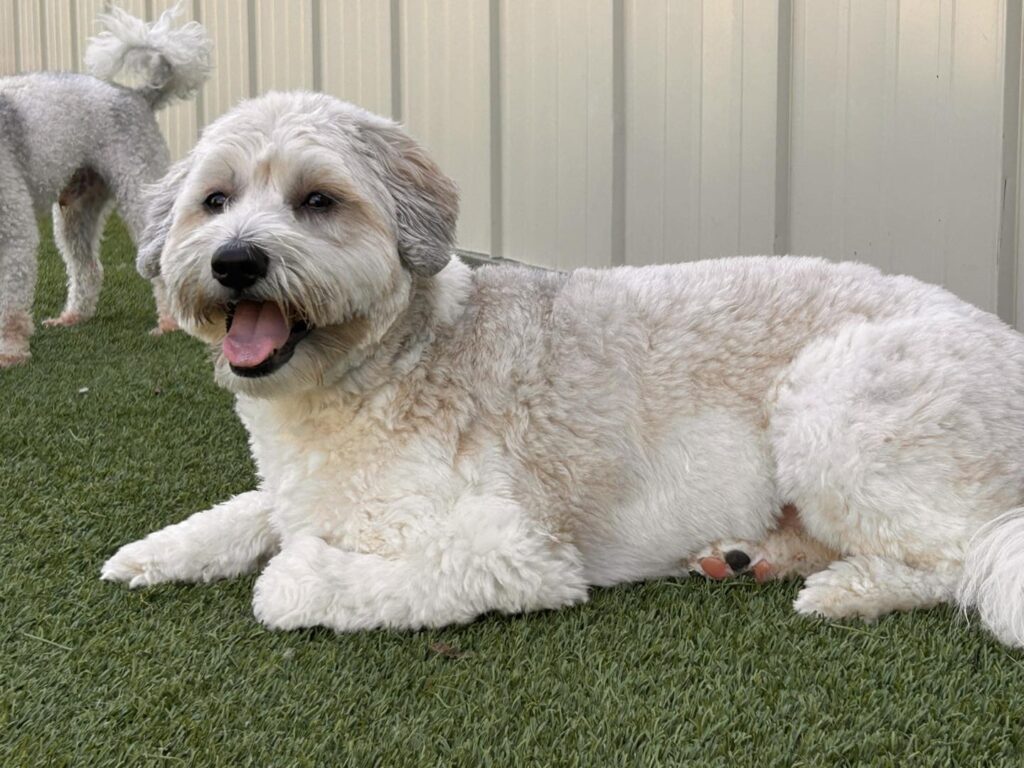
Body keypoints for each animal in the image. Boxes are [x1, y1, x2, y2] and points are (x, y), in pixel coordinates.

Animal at [0, 5, 210, 366]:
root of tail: (138, 95)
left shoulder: (14, 231)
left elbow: (10, 306)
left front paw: (10, 353)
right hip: (76, 209)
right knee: (87, 269)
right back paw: (72, 317)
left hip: (140, 191)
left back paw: (169, 324)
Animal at [105, 91, 1024, 651]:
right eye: (215, 200)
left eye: (317, 202)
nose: (235, 261)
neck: (391, 365)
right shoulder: (304, 488)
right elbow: (247, 510)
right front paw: (154, 553)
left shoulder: (517, 547)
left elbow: (302, 580)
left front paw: (298, 574)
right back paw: (748, 557)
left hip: (832, 407)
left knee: (961, 558)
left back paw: (849, 590)